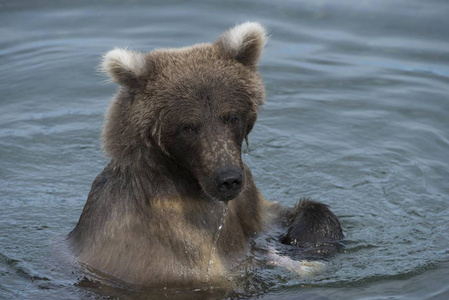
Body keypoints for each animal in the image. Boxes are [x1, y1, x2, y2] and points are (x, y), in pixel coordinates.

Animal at [68, 22, 344, 290]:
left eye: (231, 116)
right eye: (187, 126)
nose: (228, 179)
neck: (190, 181)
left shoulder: (247, 201)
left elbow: (280, 214)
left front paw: (305, 237)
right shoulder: (168, 239)